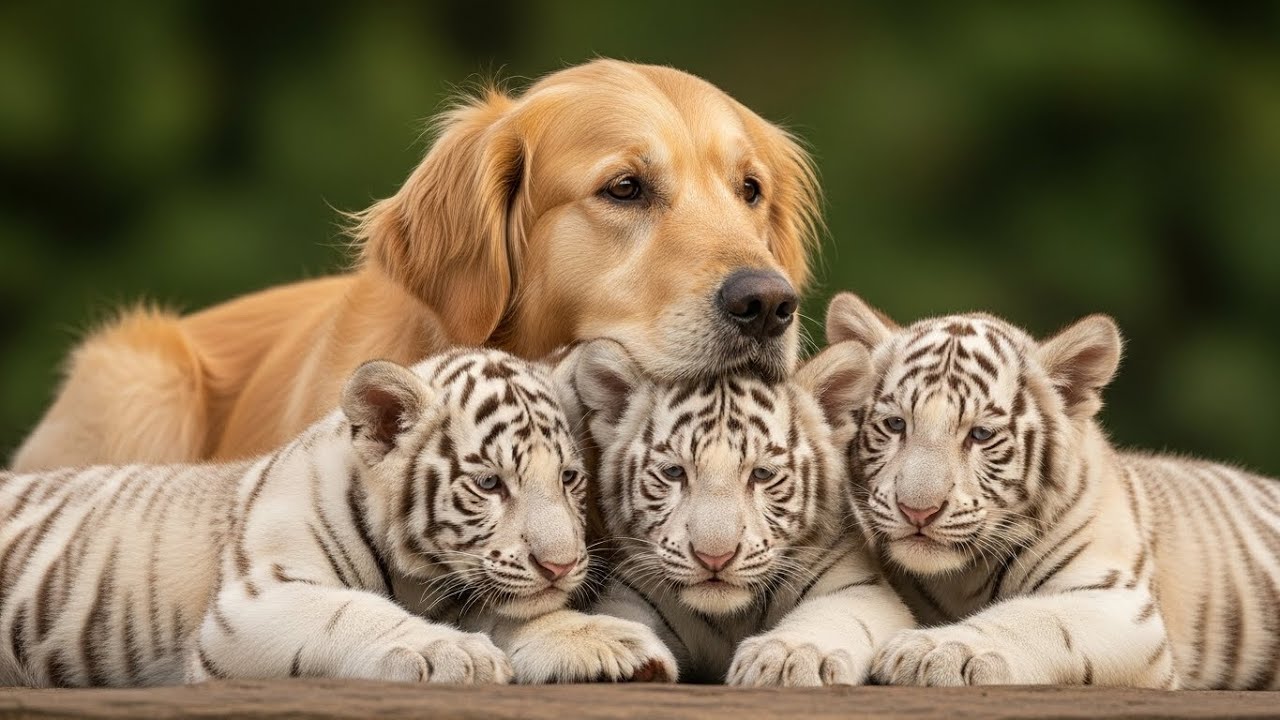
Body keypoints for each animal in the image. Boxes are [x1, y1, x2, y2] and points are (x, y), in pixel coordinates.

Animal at [0, 348, 673, 687]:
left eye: (568, 478)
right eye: (489, 483)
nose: (562, 566)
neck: (420, 578)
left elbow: (511, 613)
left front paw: (605, 642)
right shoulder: (253, 602)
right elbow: (351, 612)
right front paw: (456, 652)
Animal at [553, 339, 915, 686]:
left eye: (762, 474)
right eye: (674, 472)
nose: (715, 557)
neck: (732, 618)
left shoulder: (860, 586)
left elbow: (831, 616)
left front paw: (788, 657)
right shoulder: (633, 593)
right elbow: (620, 616)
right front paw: (613, 648)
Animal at [821, 291, 1280, 689]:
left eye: (980, 434)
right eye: (896, 424)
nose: (918, 511)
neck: (962, 579)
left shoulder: (1121, 606)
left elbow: (1037, 619)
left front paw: (932, 649)